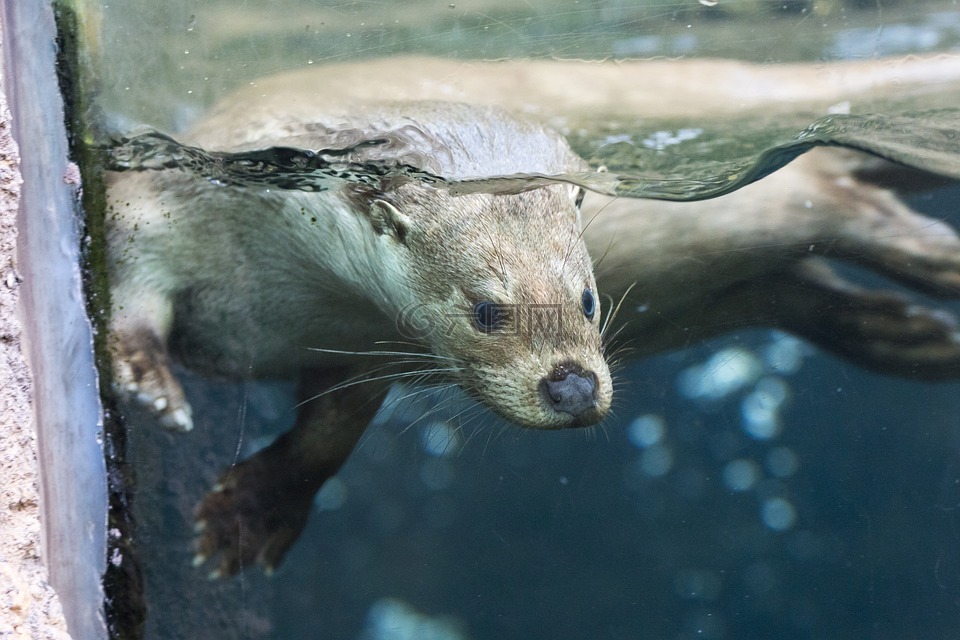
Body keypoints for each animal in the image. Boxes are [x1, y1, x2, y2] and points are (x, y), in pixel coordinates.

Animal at [105, 56, 960, 576]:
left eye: (587, 299)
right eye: (486, 310)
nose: (574, 387)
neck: (286, 293)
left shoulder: (362, 348)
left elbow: (325, 441)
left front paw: (252, 515)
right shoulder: (150, 206)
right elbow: (128, 296)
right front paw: (151, 383)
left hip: (758, 202)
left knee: (841, 194)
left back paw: (932, 269)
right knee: (804, 273)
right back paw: (910, 333)